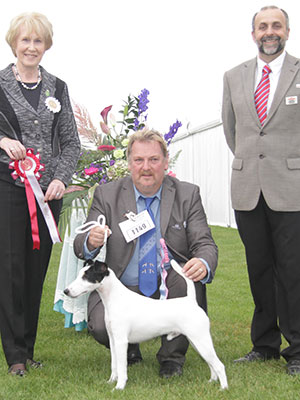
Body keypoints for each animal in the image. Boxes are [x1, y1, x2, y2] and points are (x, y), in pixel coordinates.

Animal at [63, 256, 227, 390]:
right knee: (211, 364)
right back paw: (211, 382)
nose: (66, 291)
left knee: (219, 365)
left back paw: (223, 388)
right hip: (197, 342)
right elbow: (114, 365)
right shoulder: (113, 339)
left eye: (86, 276)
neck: (114, 298)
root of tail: (190, 301)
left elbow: (122, 367)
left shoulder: (121, 341)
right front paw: (111, 381)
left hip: (200, 339)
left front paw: (119, 387)